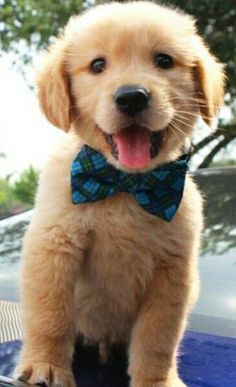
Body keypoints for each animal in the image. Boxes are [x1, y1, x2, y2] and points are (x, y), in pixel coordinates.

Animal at [14, 0, 225, 387]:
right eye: (98, 65)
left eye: (163, 61)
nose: (131, 98)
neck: (127, 185)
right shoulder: (54, 246)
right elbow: (49, 315)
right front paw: (45, 365)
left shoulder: (173, 272)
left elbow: (158, 337)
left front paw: (157, 380)